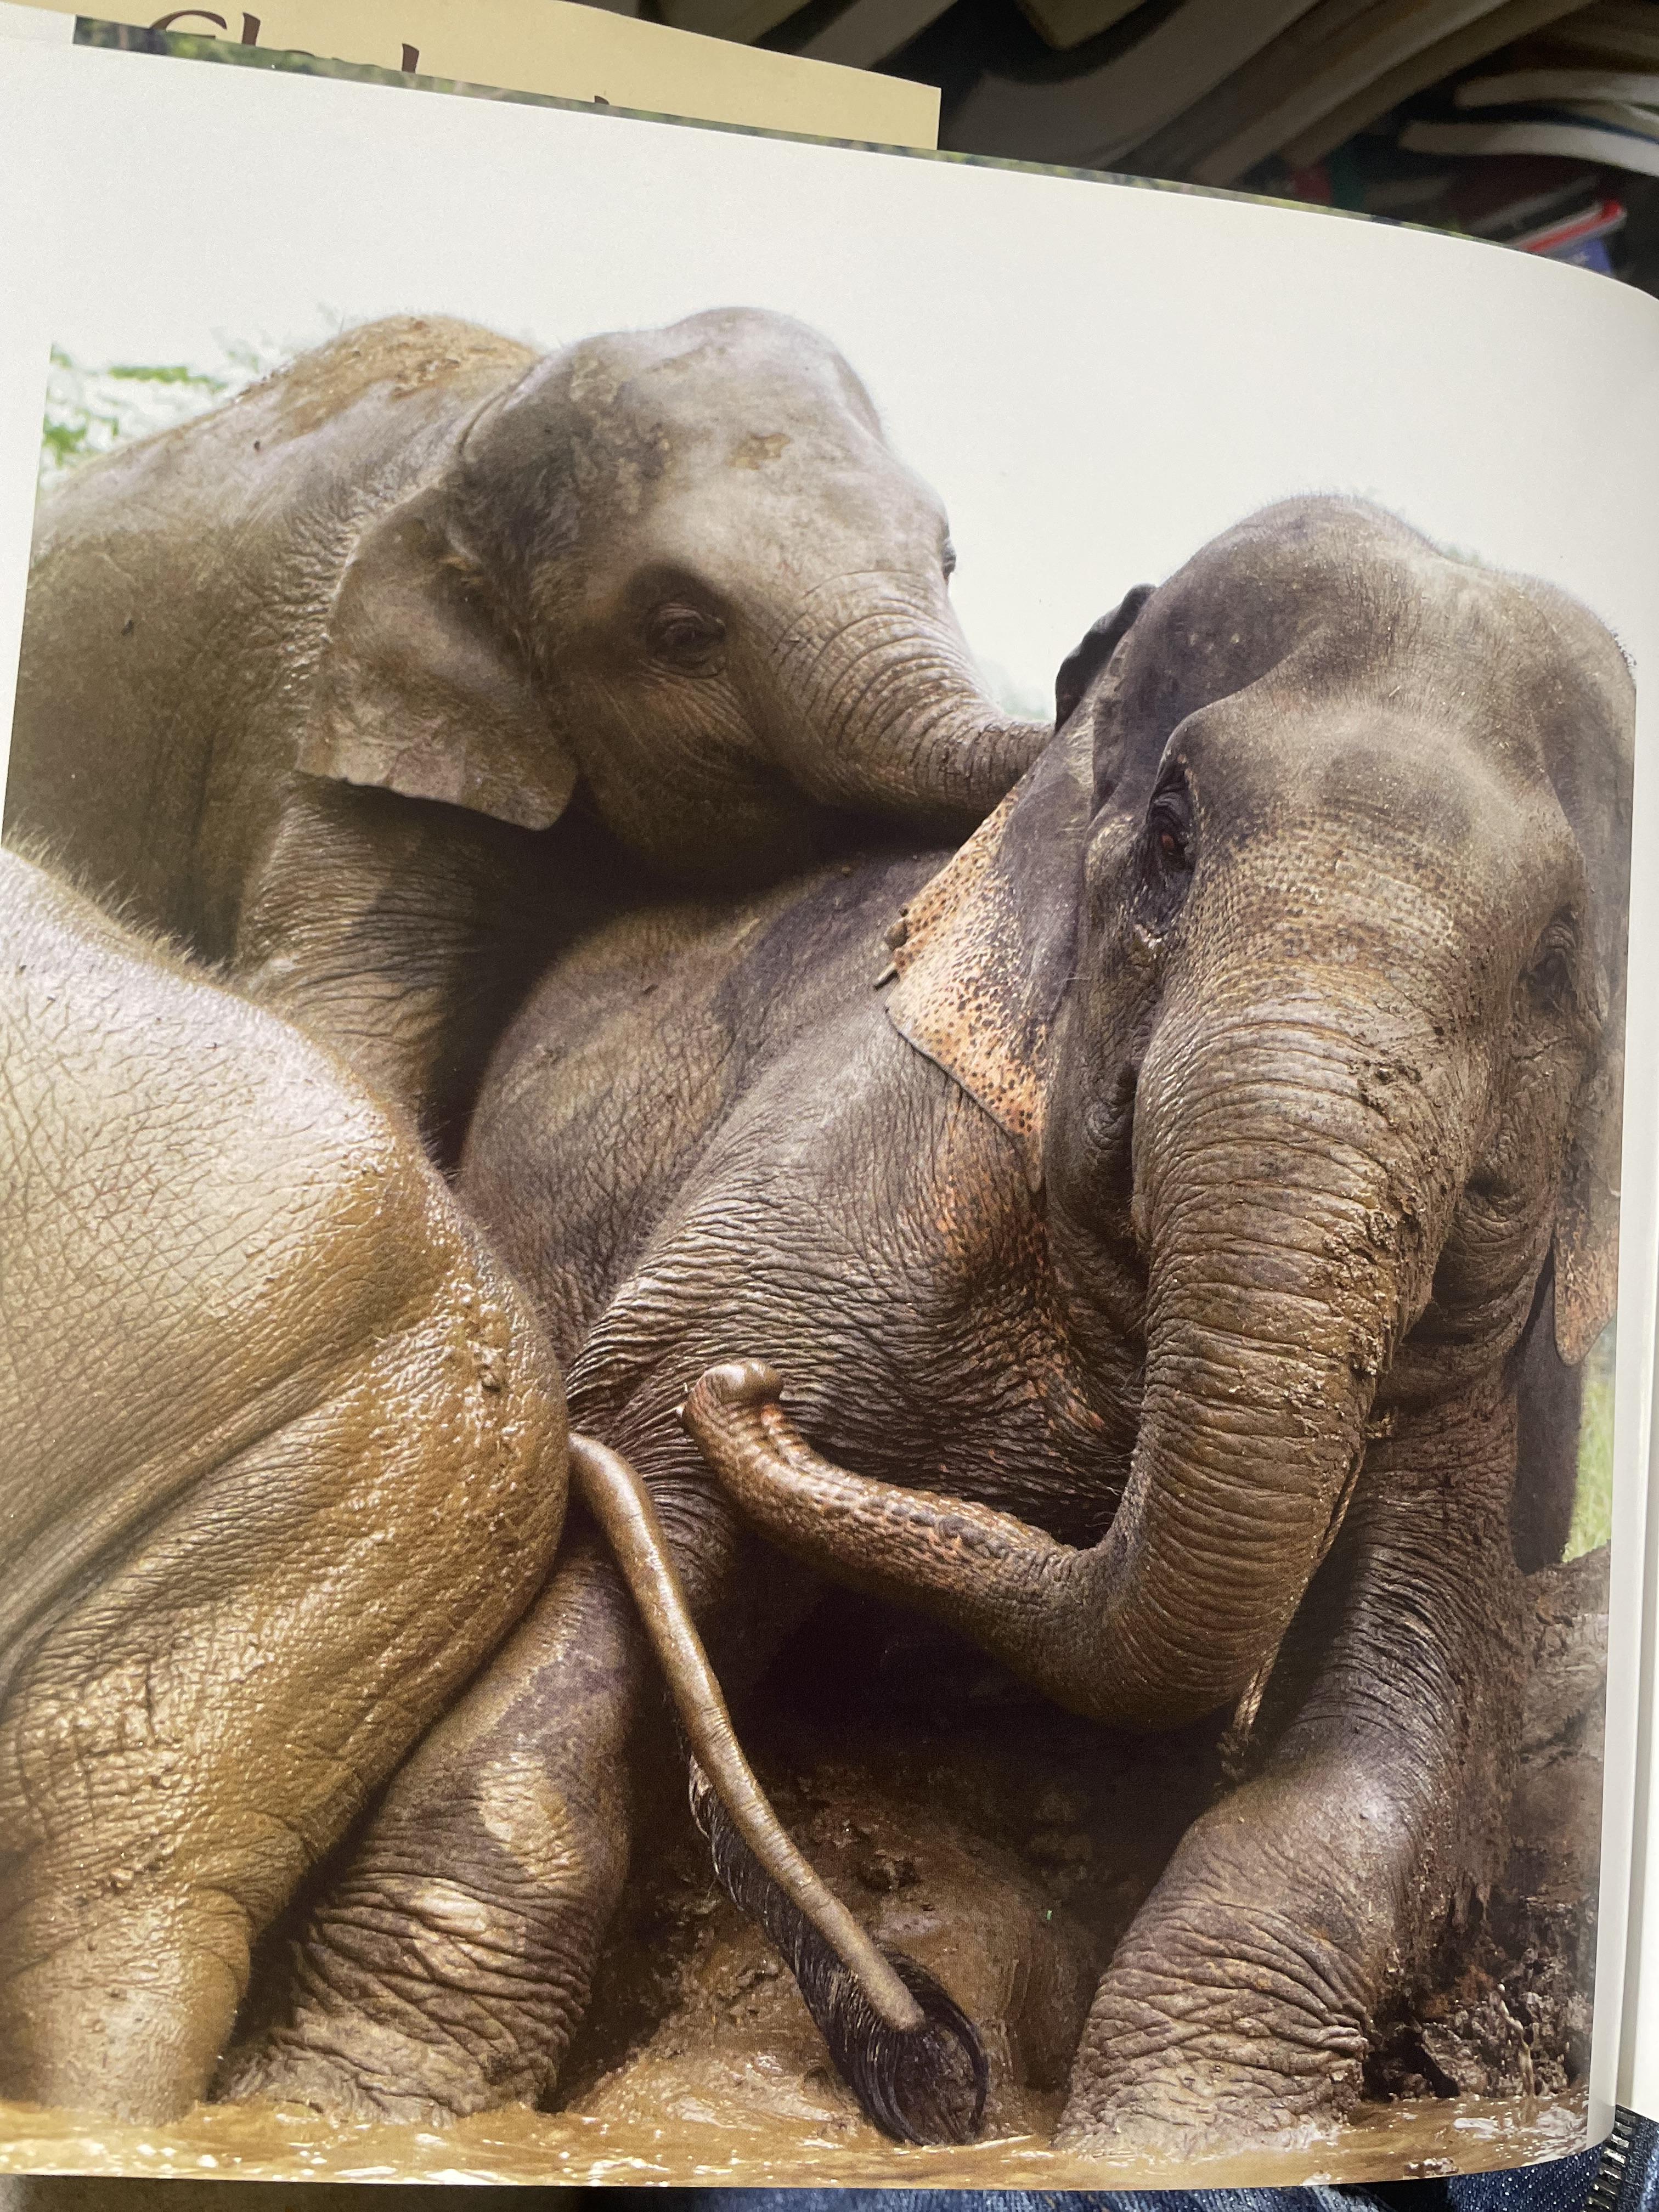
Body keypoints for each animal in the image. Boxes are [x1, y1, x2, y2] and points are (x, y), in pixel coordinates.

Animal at [221, 495, 1630, 2153]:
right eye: (1172, 836)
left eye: (1559, 962)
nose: (754, 1395)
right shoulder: (865, 1155)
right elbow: (625, 1545)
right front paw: (358, 2105)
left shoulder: (1493, 1388)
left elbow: (1407, 1712)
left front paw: (1184, 2138)